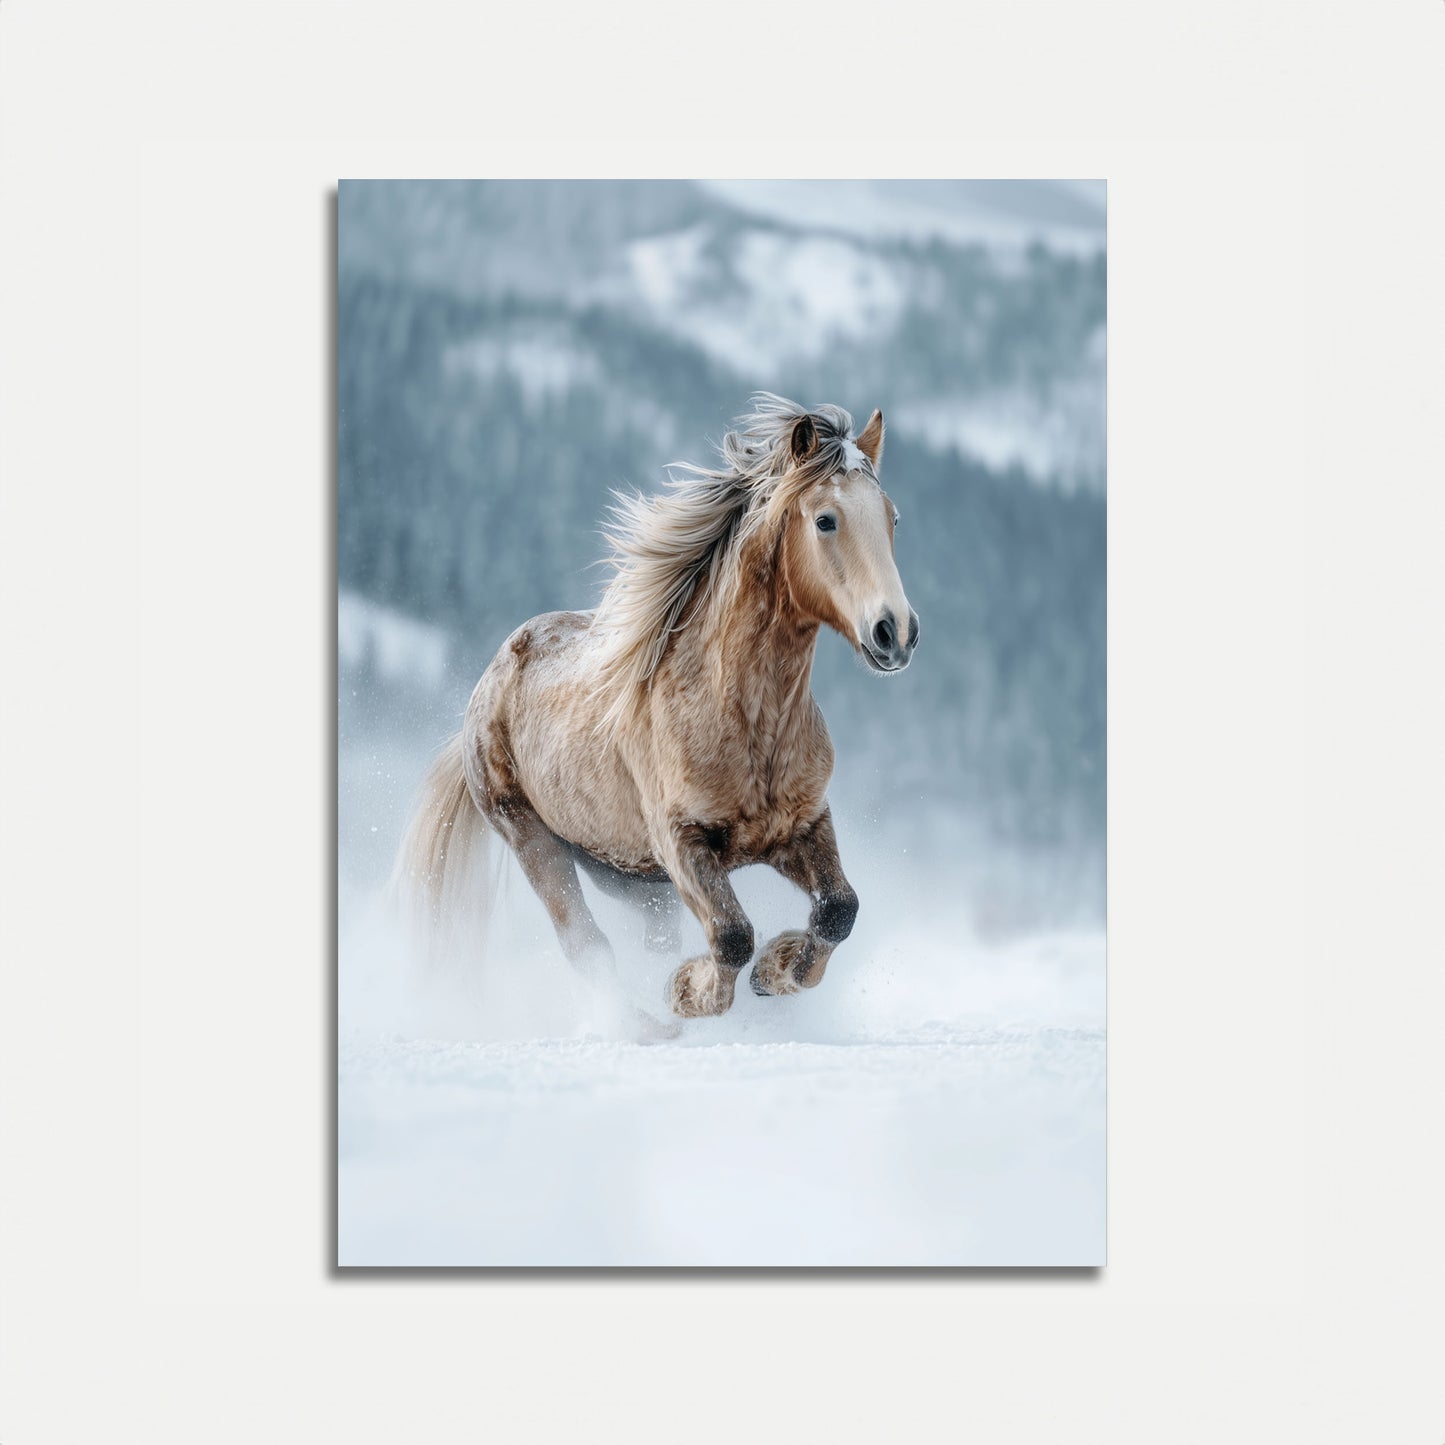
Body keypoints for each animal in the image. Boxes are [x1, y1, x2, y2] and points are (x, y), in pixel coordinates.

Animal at [394, 394, 918, 1022]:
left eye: (892, 518)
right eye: (825, 520)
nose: (896, 632)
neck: (745, 723)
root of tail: (491, 678)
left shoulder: (805, 824)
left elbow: (839, 909)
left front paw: (778, 970)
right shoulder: (681, 844)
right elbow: (731, 935)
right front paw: (689, 992)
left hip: (624, 870)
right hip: (534, 840)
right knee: (586, 945)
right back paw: (642, 1023)